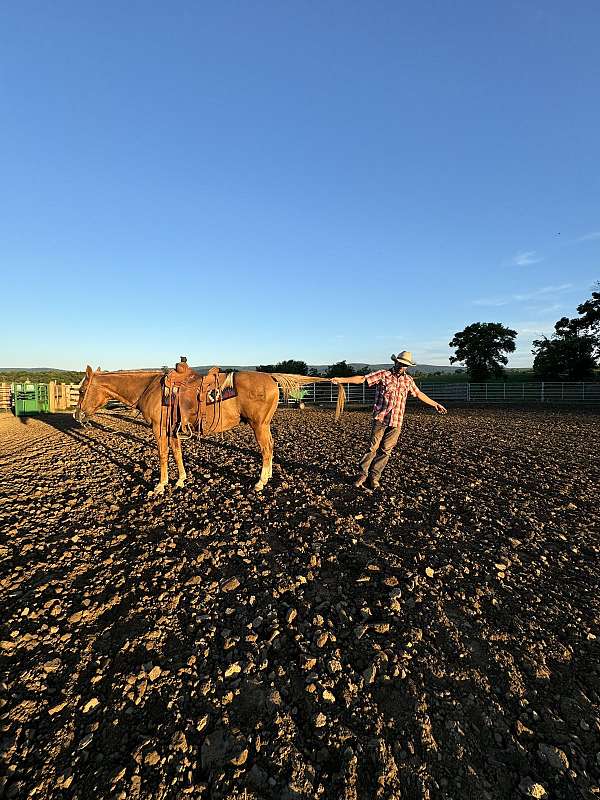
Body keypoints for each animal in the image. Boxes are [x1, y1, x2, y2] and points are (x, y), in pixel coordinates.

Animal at [74, 368, 344, 494]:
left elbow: (162, 456)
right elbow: (177, 454)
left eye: (82, 389)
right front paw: (181, 480)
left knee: (266, 451)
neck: (149, 388)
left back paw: (259, 483)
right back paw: (265, 479)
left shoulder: (159, 429)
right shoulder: (173, 430)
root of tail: (270, 377)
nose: (77, 415)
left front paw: (160, 486)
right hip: (264, 425)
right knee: (270, 449)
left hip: (259, 425)